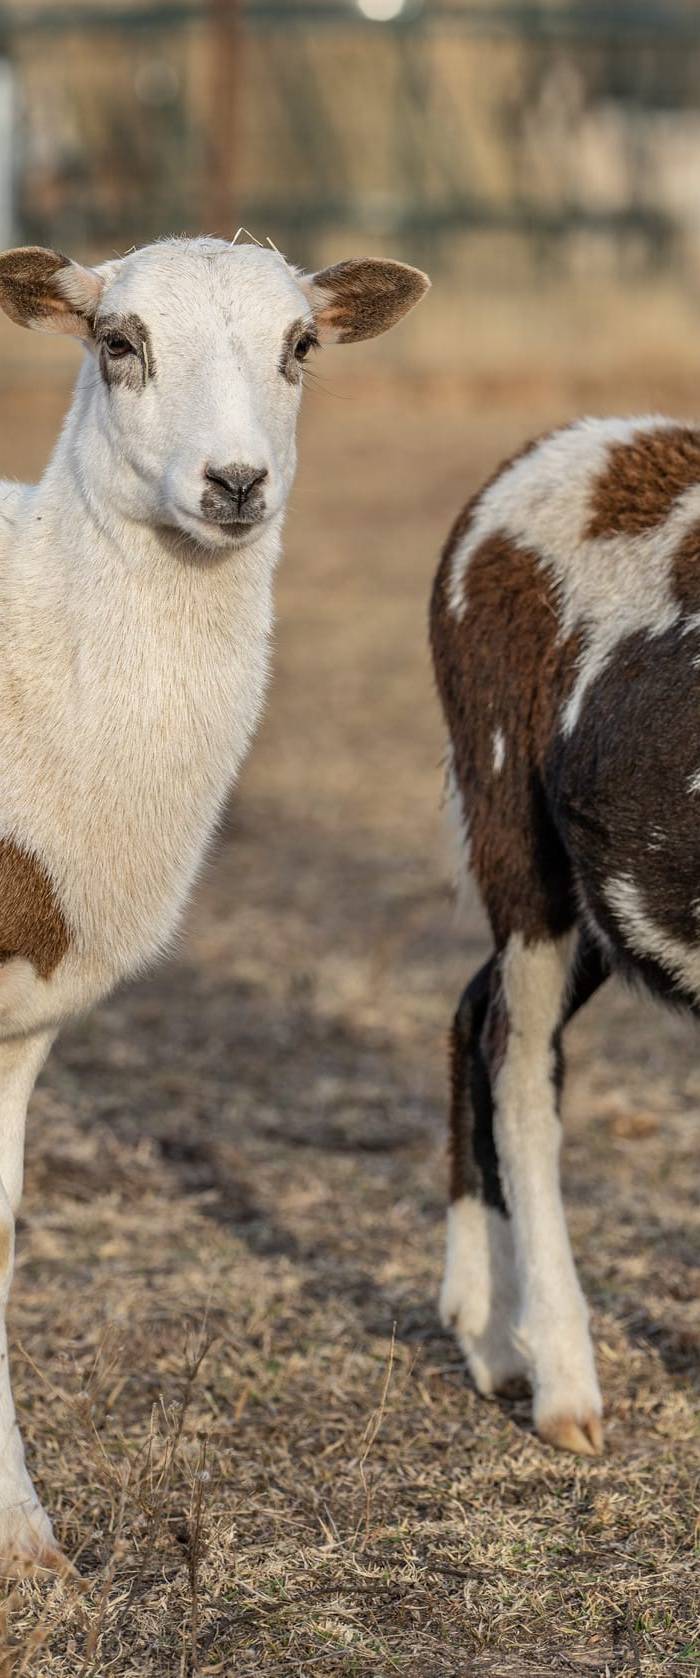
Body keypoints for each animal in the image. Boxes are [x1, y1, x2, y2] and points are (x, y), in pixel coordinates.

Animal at [430, 415, 700, 1457]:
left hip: (602, 905)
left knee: (476, 1008)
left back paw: (484, 1333)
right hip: (512, 820)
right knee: (520, 1062)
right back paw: (563, 1388)